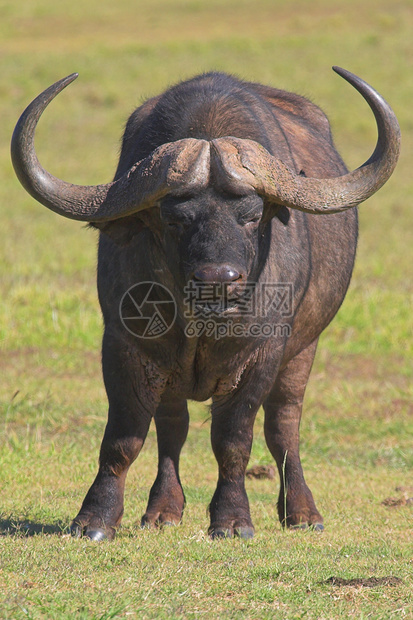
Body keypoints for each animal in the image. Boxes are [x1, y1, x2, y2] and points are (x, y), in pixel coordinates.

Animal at [12, 68, 400, 536]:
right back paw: (163, 511)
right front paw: (95, 519)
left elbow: (233, 440)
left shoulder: (262, 354)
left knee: (284, 426)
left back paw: (303, 513)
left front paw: (232, 520)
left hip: (303, 349)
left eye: (252, 215)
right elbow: (124, 439)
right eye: (174, 218)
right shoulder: (124, 346)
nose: (218, 281)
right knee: (172, 427)